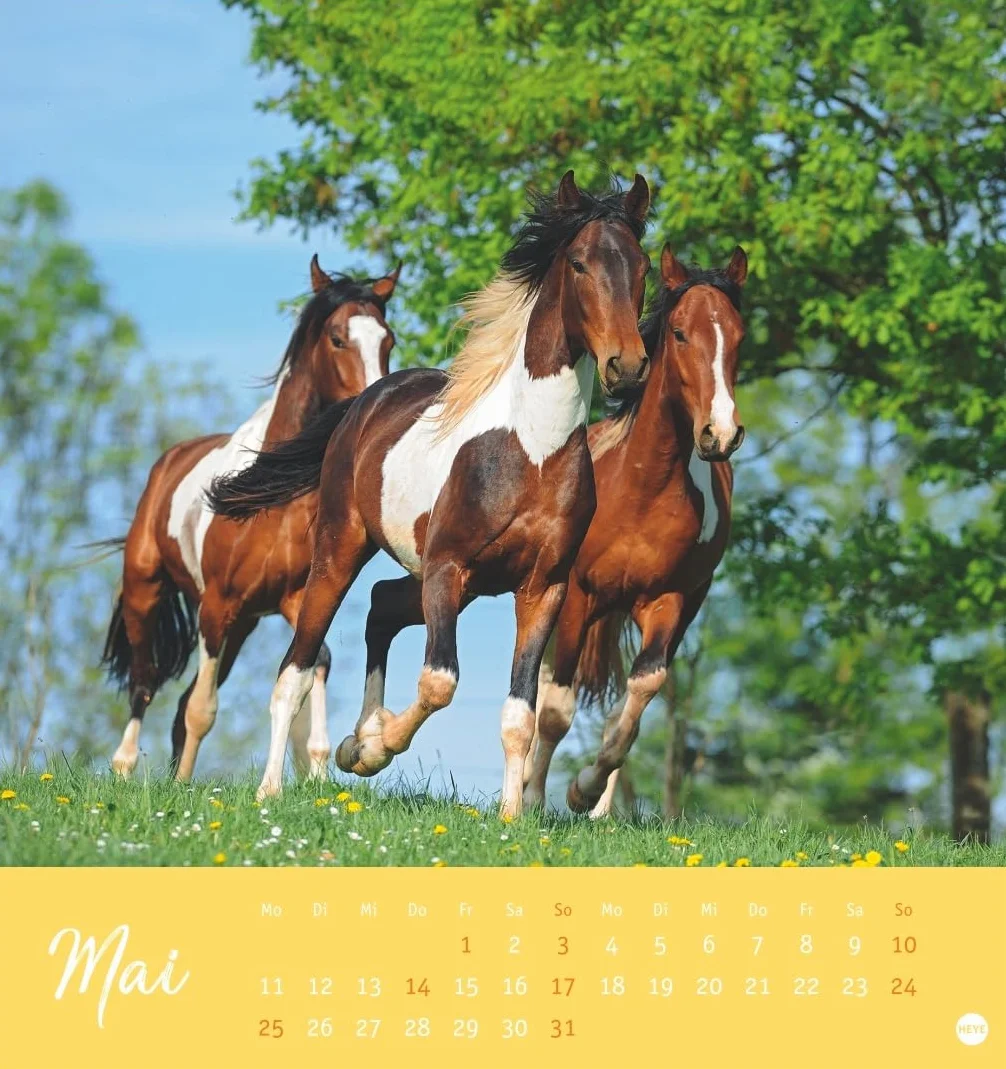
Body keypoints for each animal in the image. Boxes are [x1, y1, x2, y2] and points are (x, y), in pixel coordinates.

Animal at [101, 256, 400, 783]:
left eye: (388, 339)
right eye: (337, 337)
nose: (372, 401)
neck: (274, 496)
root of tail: (169, 462)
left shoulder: (290, 599)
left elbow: (316, 662)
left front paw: (317, 772)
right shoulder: (217, 606)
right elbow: (201, 710)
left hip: (242, 625)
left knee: (175, 703)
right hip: (146, 592)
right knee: (144, 683)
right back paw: (123, 769)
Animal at [208, 170, 652, 813]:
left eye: (643, 264)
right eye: (578, 263)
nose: (628, 366)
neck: (530, 452)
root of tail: (364, 402)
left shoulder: (542, 587)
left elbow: (520, 714)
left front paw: (511, 816)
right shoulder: (447, 567)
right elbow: (440, 682)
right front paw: (371, 750)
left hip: (446, 584)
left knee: (380, 607)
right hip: (343, 551)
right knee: (295, 668)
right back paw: (276, 785)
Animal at [520, 243, 748, 817]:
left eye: (739, 336)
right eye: (680, 333)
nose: (721, 434)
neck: (643, 487)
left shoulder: (667, 602)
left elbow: (641, 694)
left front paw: (584, 789)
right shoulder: (577, 595)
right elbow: (555, 706)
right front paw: (532, 799)